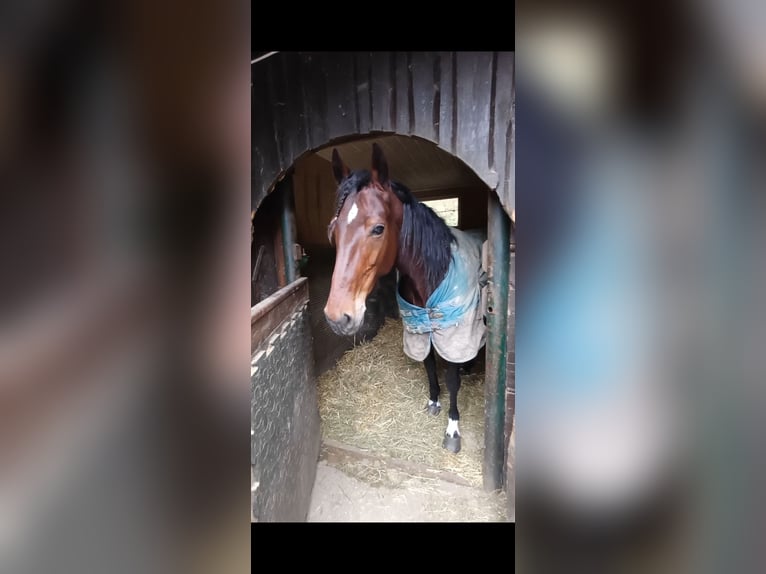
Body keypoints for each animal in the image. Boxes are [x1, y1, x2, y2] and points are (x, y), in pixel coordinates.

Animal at [324, 143, 486, 454]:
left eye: (378, 228)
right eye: (333, 231)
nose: (338, 317)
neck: (433, 273)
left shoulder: (452, 333)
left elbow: (452, 379)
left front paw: (452, 429)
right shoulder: (420, 329)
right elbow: (429, 365)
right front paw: (433, 401)